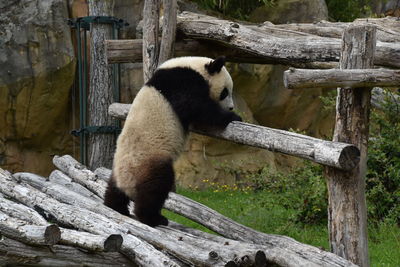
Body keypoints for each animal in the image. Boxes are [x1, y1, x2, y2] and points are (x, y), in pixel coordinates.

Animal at [104, 56, 241, 228]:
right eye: (225, 92)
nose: (231, 107)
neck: (192, 66)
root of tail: (126, 183)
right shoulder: (181, 82)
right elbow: (197, 107)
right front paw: (234, 117)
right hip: (149, 161)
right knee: (156, 187)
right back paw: (153, 218)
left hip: (119, 166)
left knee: (114, 189)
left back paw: (115, 206)